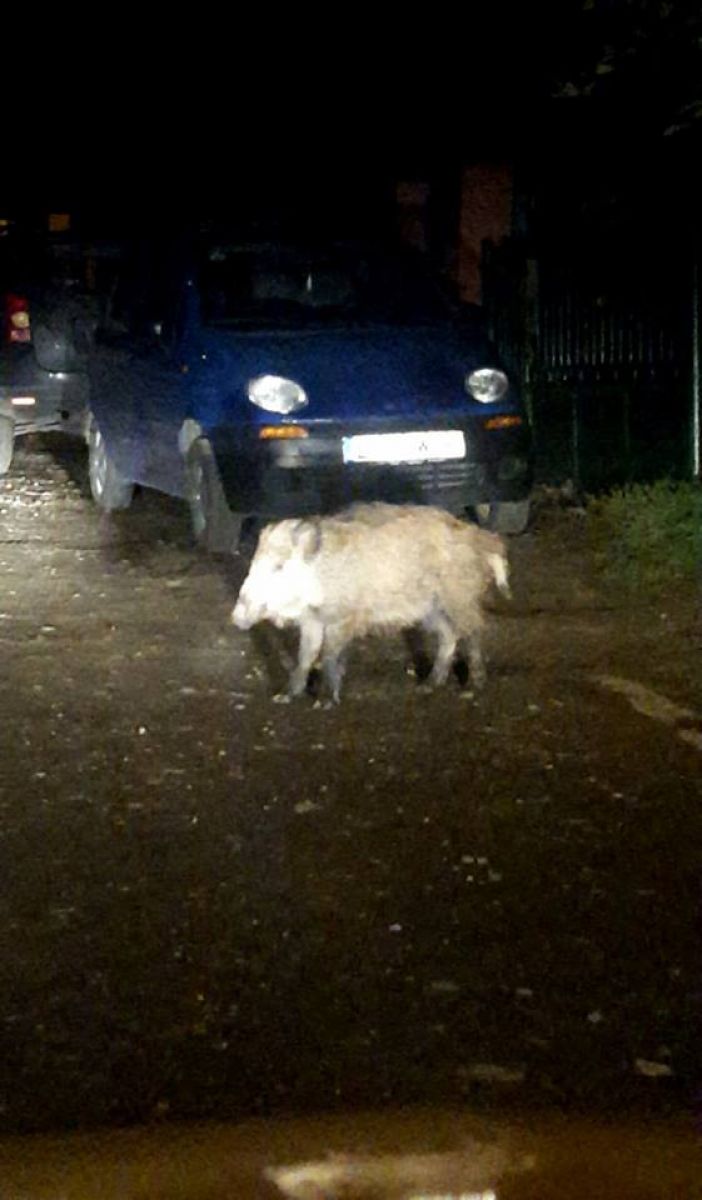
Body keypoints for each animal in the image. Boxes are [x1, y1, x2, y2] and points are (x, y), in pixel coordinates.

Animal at [231, 502, 510, 702]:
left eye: (278, 566)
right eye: (253, 562)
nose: (236, 617)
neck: (320, 573)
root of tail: (482, 538)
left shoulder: (344, 617)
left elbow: (330, 655)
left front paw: (325, 702)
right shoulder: (313, 621)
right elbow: (305, 656)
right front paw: (284, 697)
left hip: (459, 597)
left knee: (473, 632)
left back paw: (472, 689)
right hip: (430, 609)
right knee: (448, 635)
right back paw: (427, 686)